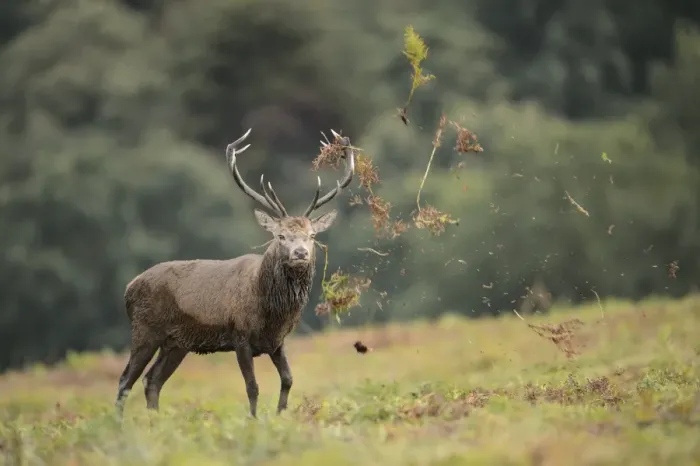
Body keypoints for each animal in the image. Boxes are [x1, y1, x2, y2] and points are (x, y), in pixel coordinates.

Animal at [114, 128, 355, 419]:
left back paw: (155, 421)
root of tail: (128, 288)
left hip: (177, 343)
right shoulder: (240, 336)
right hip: (145, 329)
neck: (271, 312)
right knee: (125, 380)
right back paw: (119, 423)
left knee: (152, 380)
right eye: (280, 235)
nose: (300, 253)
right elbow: (252, 386)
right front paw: (253, 420)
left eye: (311, 236)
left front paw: (280, 416)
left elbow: (288, 379)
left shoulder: (277, 341)